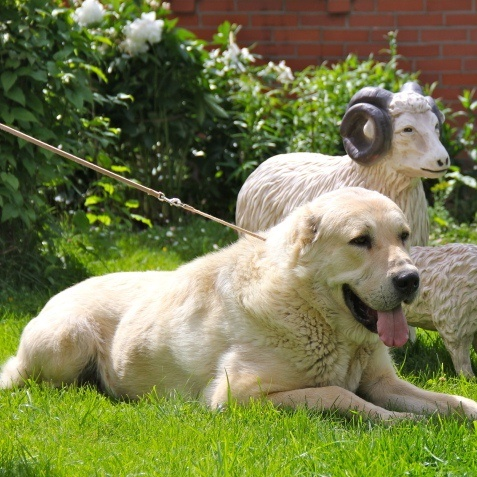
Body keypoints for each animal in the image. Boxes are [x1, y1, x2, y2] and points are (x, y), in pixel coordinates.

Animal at [0, 188, 476, 418]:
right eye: (361, 241)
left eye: (404, 236)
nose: (411, 280)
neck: (311, 308)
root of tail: (56, 297)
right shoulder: (240, 395)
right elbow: (341, 396)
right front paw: (403, 423)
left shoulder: (384, 382)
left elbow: (449, 401)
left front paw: (457, 412)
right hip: (68, 340)